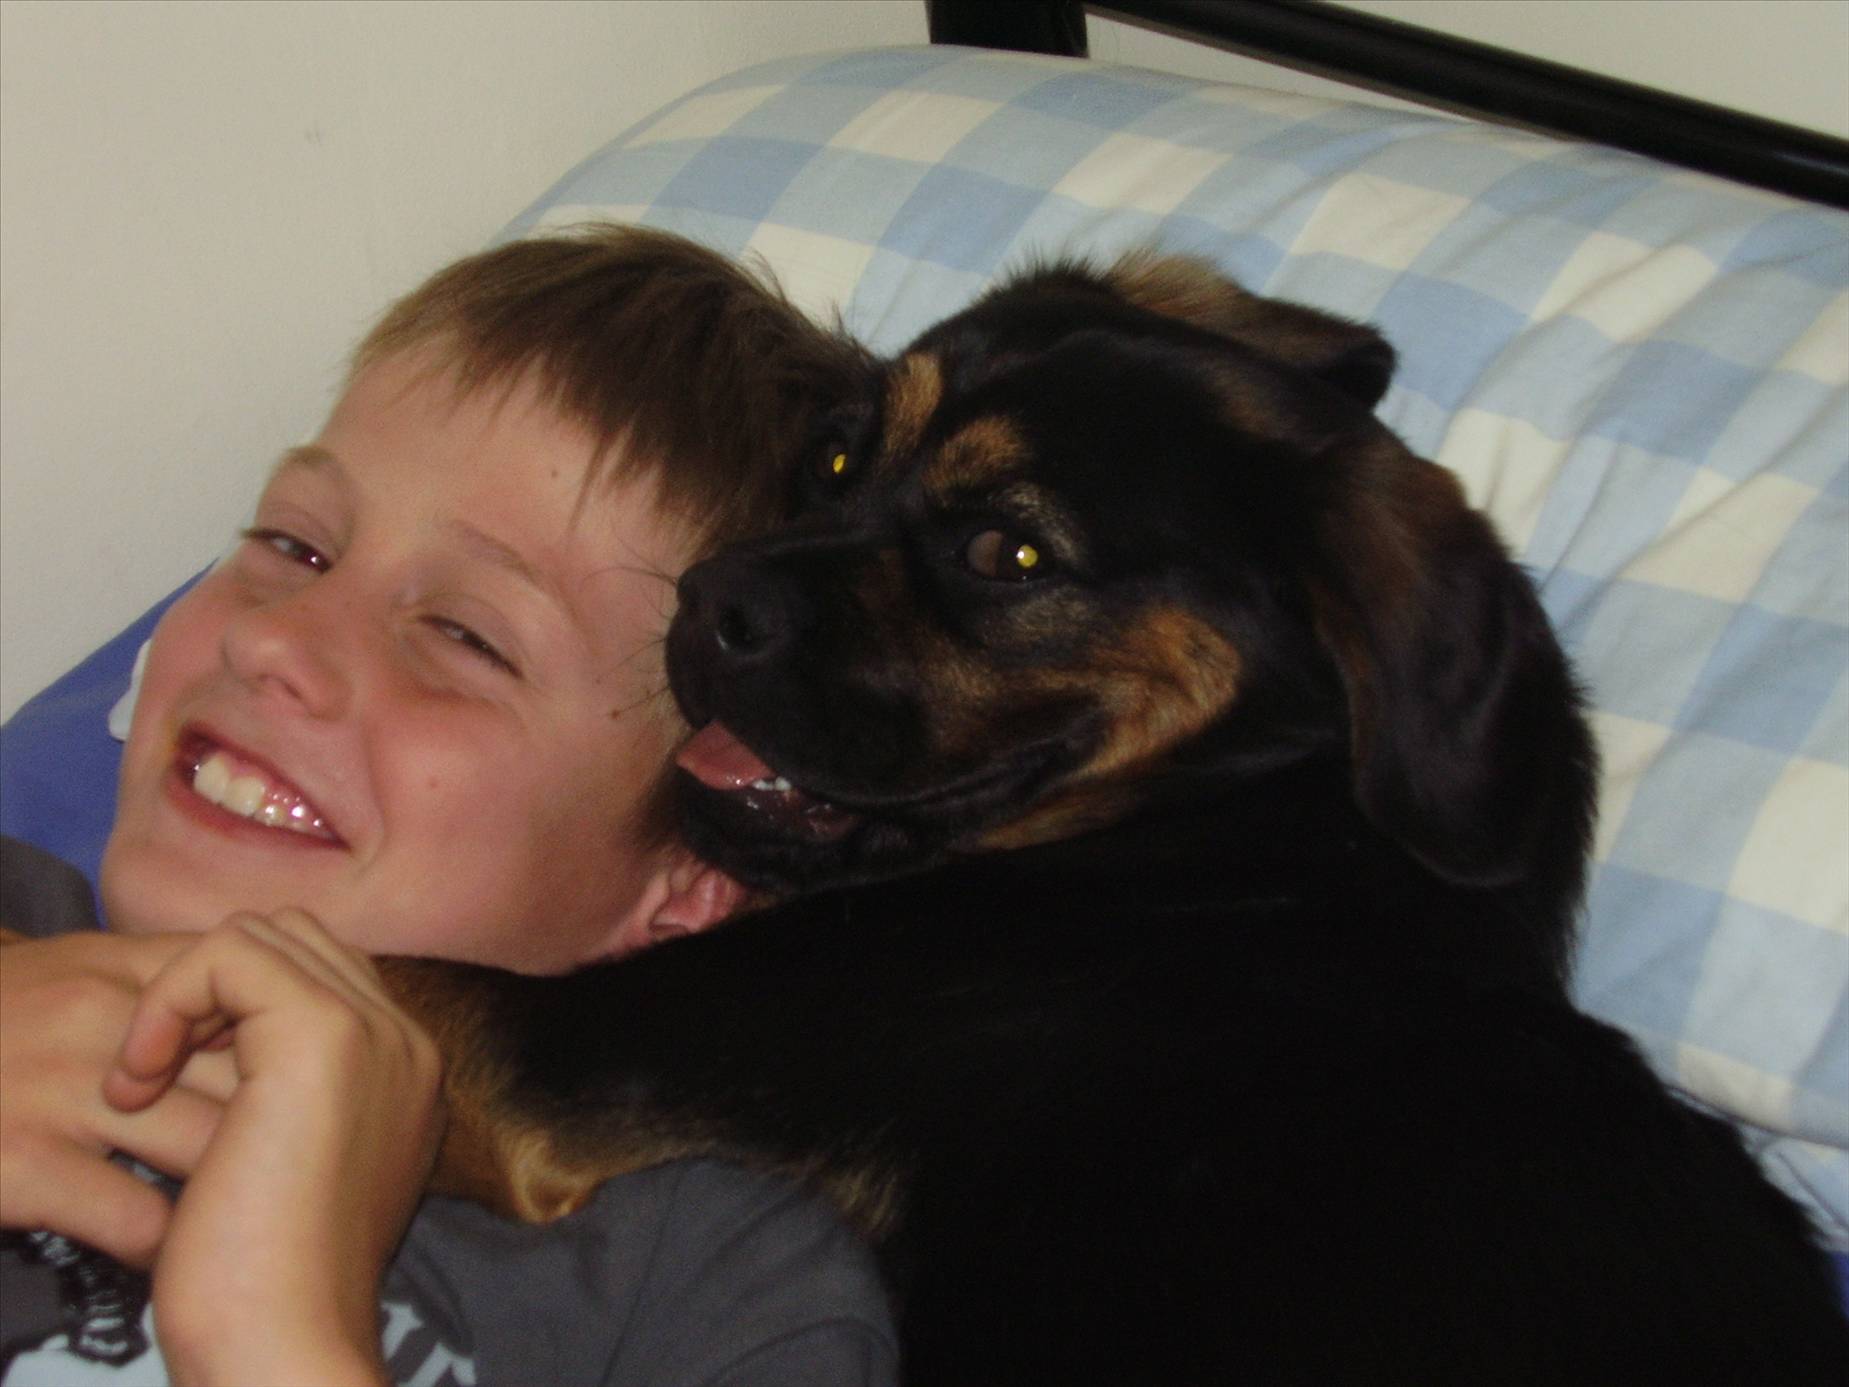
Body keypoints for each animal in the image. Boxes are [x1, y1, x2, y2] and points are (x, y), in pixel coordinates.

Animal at [387, 253, 1849, 1383]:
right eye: (839, 456)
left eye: (1010, 552)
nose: (704, 603)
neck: (1229, 832)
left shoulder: (540, 1059)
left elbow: (375, 960)